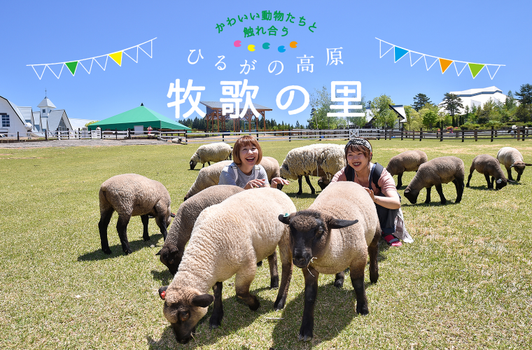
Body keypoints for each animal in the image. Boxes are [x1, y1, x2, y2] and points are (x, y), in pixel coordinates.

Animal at [158, 187, 300, 344]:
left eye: (185, 315)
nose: (181, 340)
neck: (205, 248)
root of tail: (275, 189)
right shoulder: (216, 272)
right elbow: (217, 292)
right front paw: (216, 317)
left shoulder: (247, 266)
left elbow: (241, 292)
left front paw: (255, 304)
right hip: (267, 241)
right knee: (272, 257)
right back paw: (274, 282)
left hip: (286, 236)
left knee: (287, 267)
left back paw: (280, 301)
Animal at [276, 182, 380, 340]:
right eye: (291, 230)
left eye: (320, 231)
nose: (299, 258)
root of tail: (348, 182)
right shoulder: (309, 268)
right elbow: (310, 295)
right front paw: (306, 328)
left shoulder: (359, 258)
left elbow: (358, 284)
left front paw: (363, 307)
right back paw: (339, 279)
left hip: (375, 231)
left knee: (374, 249)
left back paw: (374, 275)